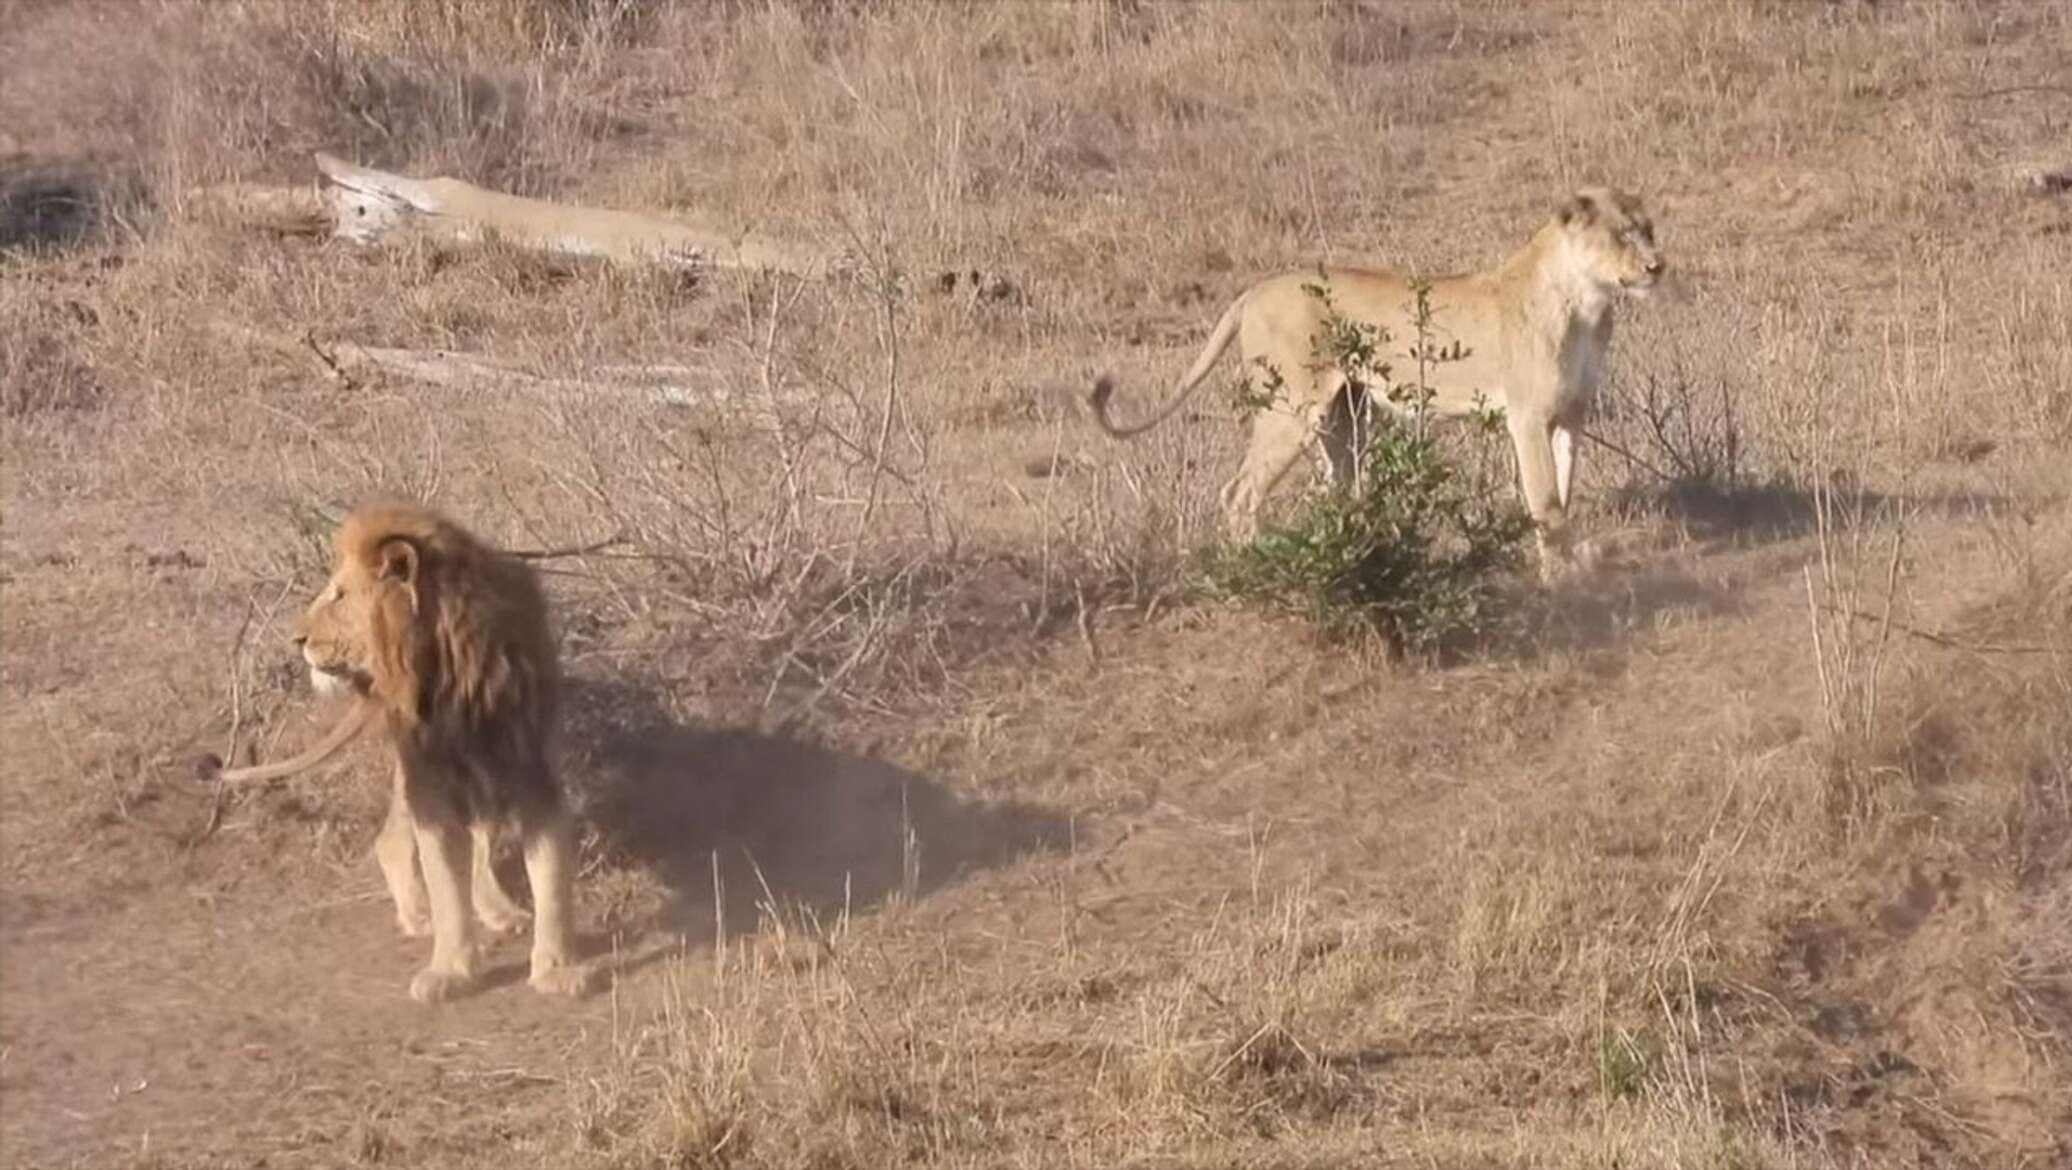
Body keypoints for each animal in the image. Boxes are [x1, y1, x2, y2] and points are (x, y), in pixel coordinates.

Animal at [214, 496, 592, 998]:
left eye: (340, 595)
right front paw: (451, 970)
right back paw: (418, 913)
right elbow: (445, 881)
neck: (450, 667)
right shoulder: (429, 781)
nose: (297, 639)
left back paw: (498, 910)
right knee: (392, 841)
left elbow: (551, 879)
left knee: (477, 841)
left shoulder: (530, 771)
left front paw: (556, 970)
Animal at [1085, 184, 1665, 575]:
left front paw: (1573, 562)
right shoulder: (1526, 417)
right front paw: (1557, 577)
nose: (1657, 266)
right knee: (1240, 491)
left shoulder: (1571, 415)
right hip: (1290, 410)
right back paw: (1261, 562)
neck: (1588, 302)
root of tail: (1254, 290)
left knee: (1333, 487)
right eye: (1622, 234)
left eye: (1650, 229)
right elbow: (1545, 500)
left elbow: (1564, 490)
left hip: (1344, 418)